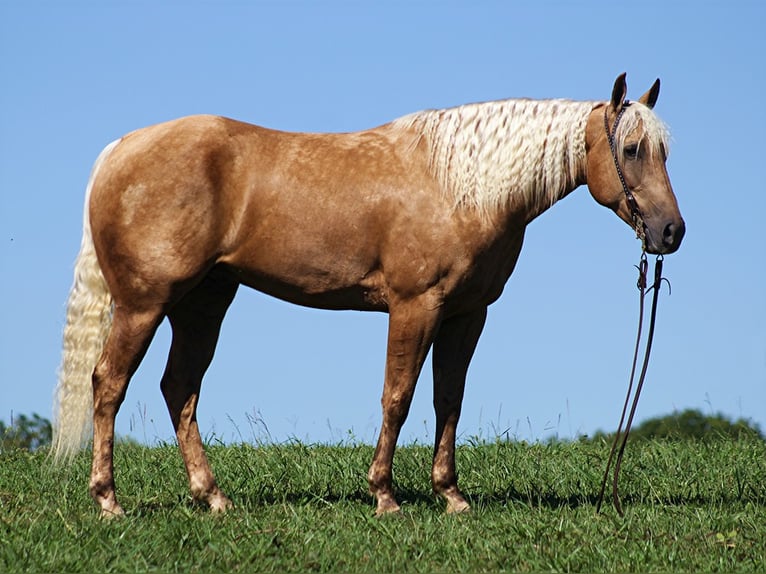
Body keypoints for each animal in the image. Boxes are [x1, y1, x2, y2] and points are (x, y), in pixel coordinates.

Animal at [55, 74, 688, 520]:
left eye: (664, 152)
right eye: (632, 149)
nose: (670, 233)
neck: (461, 188)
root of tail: (120, 150)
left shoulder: (467, 315)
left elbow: (448, 400)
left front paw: (451, 496)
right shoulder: (415, 306)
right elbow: (398, 397)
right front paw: (385, 496)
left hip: (203, 303)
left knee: (179, 388)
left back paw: (212, 498)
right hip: (144, 304)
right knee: (109, 384)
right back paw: (109, 500)